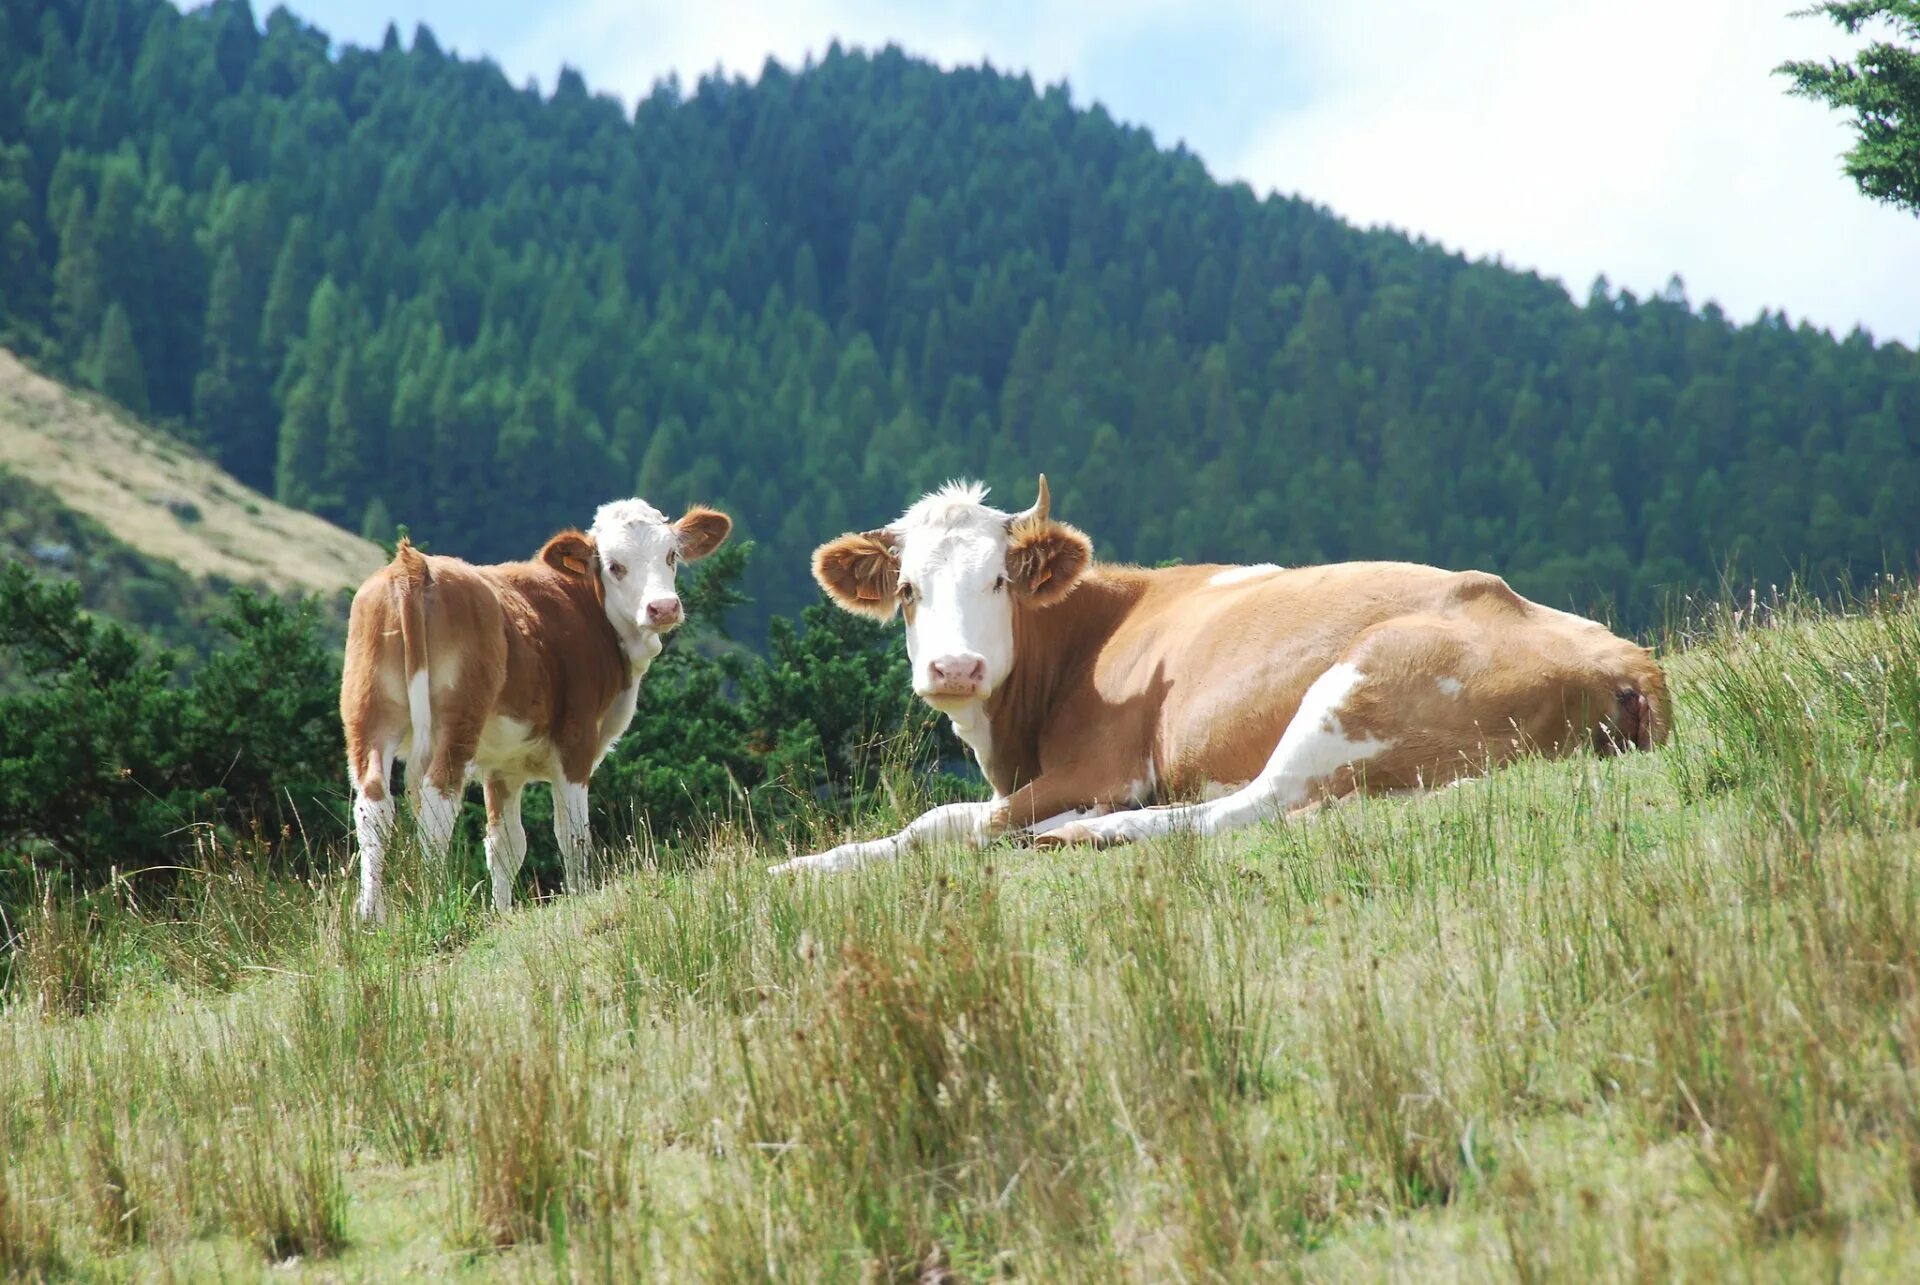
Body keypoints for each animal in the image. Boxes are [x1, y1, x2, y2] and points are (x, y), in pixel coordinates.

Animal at [341, 495, 729, 918]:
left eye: (671, 554)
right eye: (614, 565)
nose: (663, 608)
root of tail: (413, 565)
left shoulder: (503, 766)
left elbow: (505, 846)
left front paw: (502, 915)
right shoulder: (576, 742)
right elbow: (572, 832)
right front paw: (579, 896)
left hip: (368, 713)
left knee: (374, 805)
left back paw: (370, 916)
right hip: (457, 720)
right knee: (437, 802)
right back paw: (434, 901)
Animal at [768, 476, 1666, 875]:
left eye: (998, 580)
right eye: (908, 591)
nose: (955, 667)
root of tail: (1628, 659)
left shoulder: (1105, 766)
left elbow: (938, 821)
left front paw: (800, 866)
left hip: (1359, 682)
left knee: (1255, 804)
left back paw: (1085, 833)